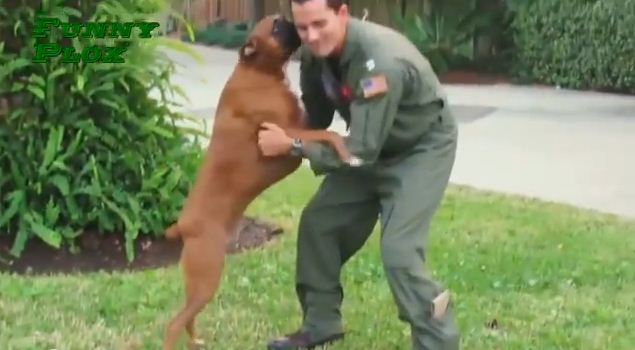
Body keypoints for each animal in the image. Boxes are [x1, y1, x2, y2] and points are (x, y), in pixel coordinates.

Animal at [163, 14, 352, 350]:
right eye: (276, 27)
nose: (291, 20)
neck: (258, 71)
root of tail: (183, 225)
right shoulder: (291, 130)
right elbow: (329, 134)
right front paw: (345, 151)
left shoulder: (301, 124)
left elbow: (325, 130)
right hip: (207, 276)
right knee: (174, 324)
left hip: (197, 282)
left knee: (186, 318)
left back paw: (196, 341)